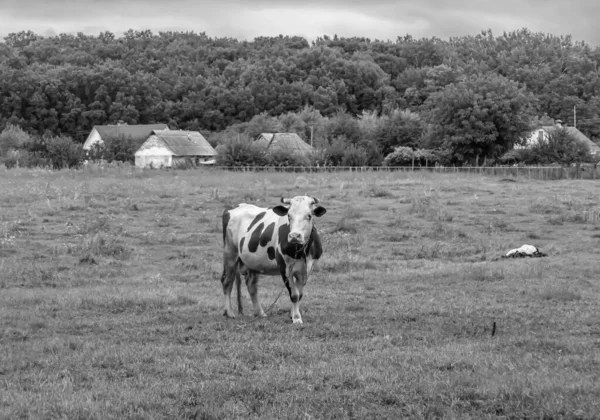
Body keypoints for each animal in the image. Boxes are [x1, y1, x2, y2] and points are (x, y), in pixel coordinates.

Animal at [220, 195, 326, 324]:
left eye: (309, 215)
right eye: (289, 216)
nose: (294, 236)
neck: (301, 251)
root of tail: (233, 208)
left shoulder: (306, 269)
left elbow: (299, 294)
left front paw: (292, 315)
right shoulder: (284, 268)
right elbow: (294, 295)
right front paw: (296, 318)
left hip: (253, 262)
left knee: (251, 286)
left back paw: (260, 313)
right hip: (230, 254)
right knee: (227, 281)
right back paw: (229, 312)